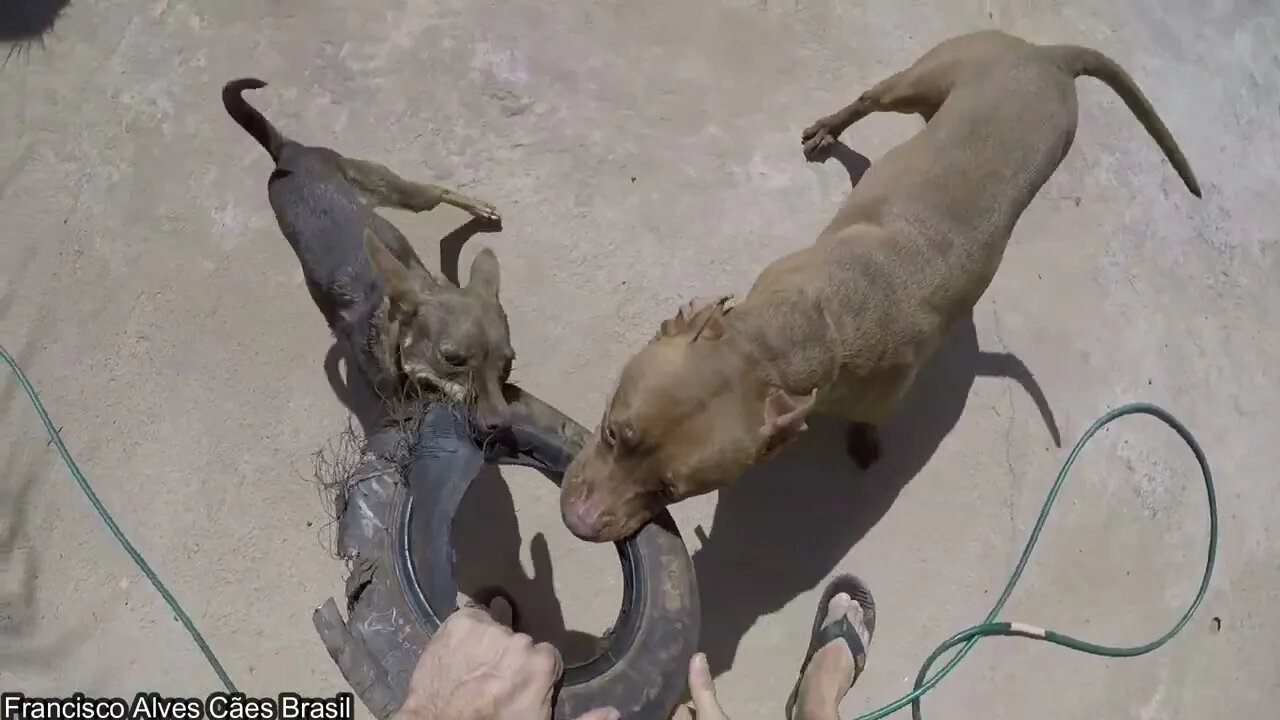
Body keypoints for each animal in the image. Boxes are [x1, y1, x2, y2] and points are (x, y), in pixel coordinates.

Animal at [560, 32, 1198, 538]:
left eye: (671, 489)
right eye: (613, 433)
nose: (580, 523)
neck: (790, 337)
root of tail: (1045, 56)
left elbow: (871, 417)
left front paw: (864, 439)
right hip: (921, 81)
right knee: (871, 98)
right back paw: (828, 129)